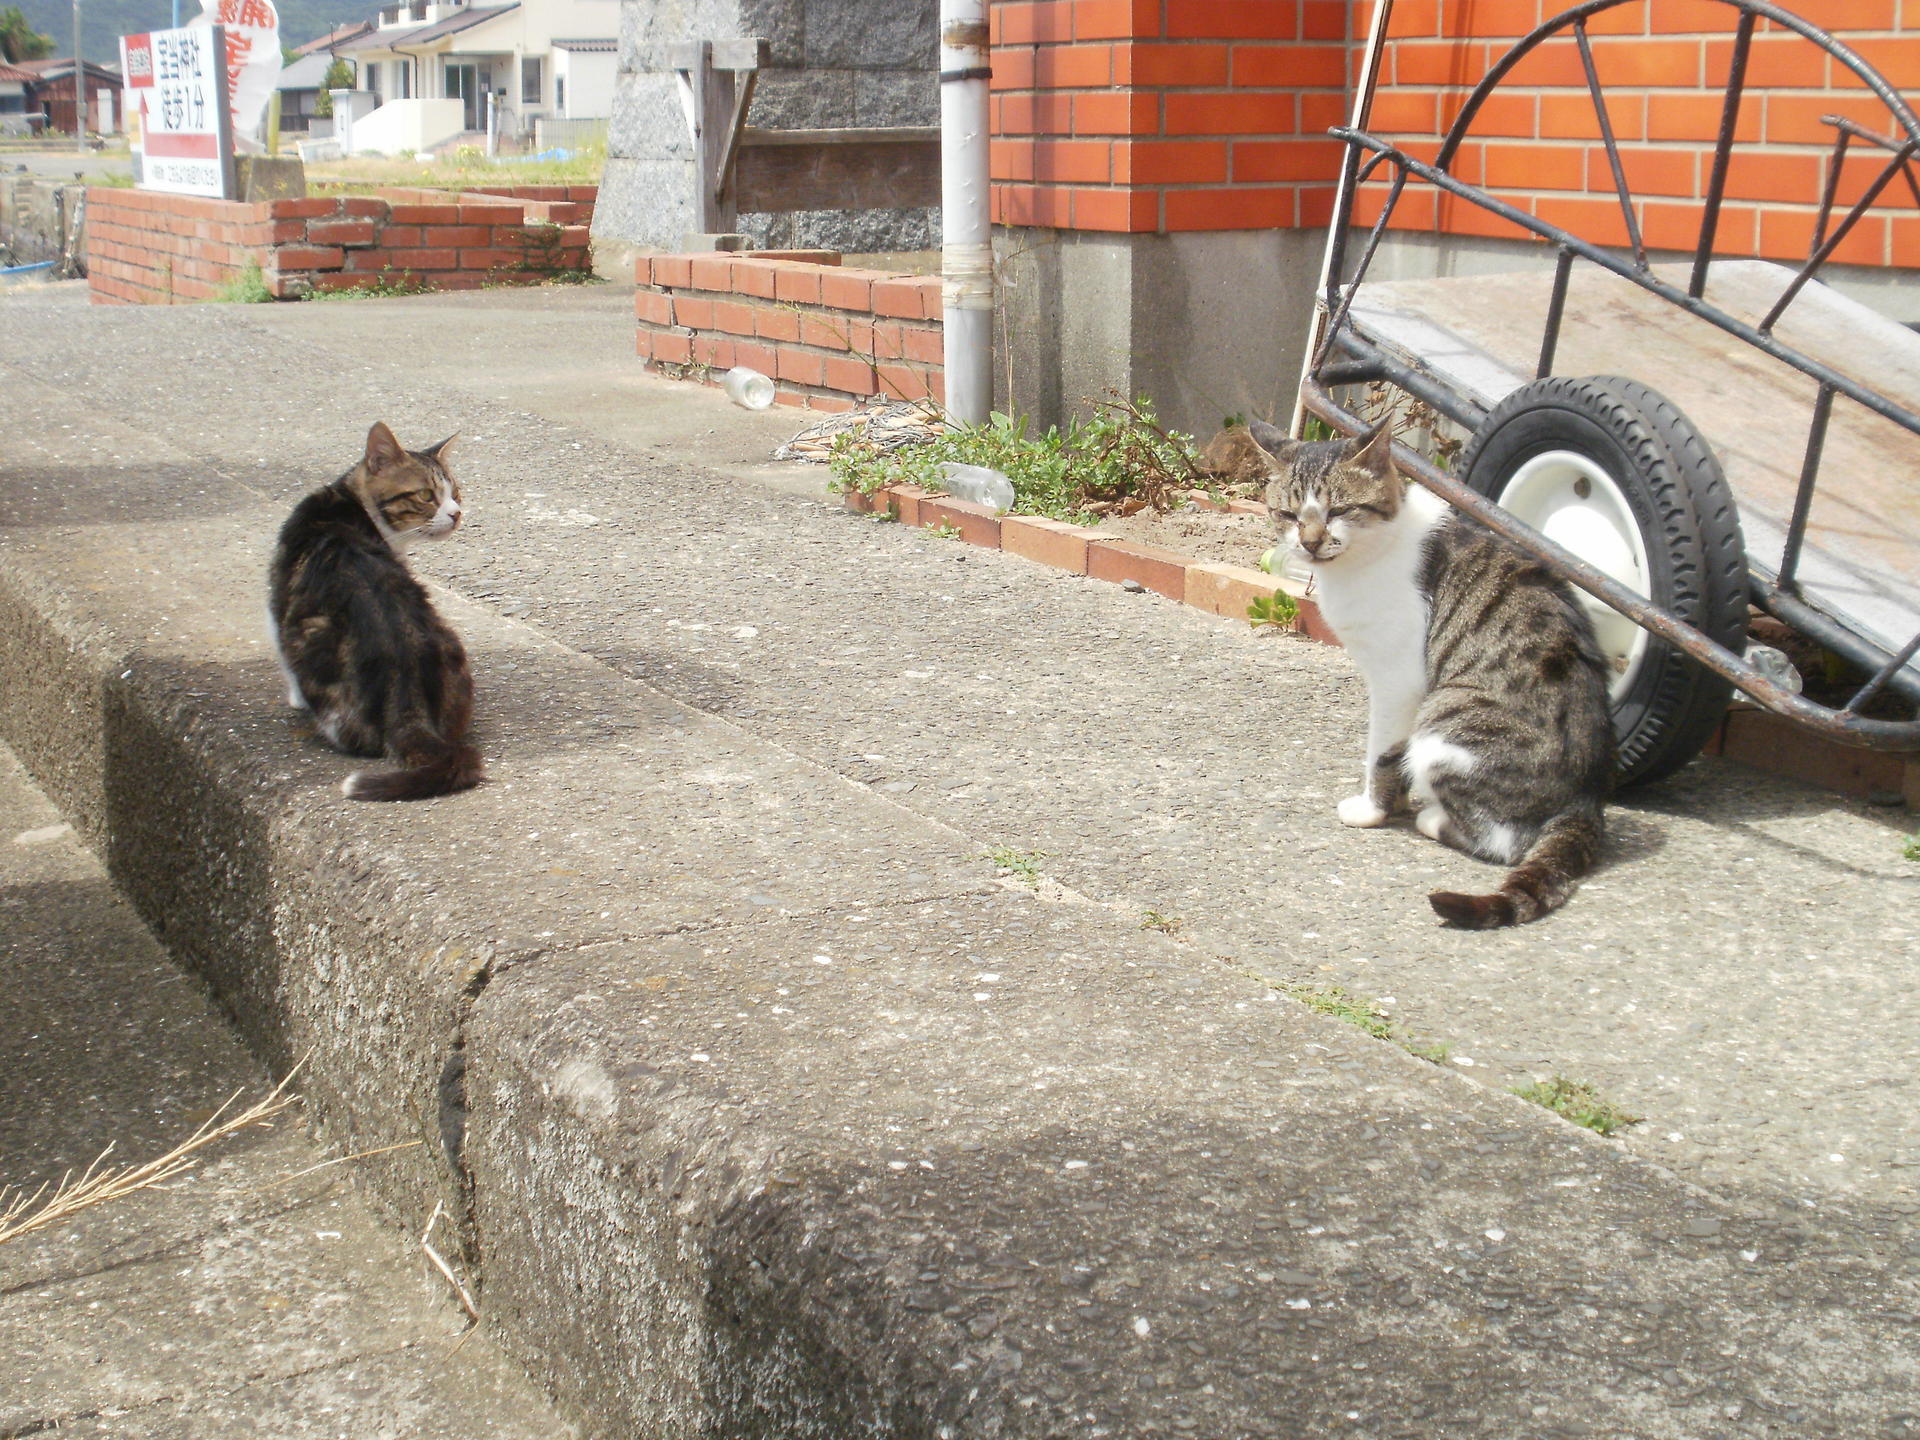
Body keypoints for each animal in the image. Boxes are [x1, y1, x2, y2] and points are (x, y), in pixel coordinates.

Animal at [266, 422, 483, 806]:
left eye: (455, 492)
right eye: (427, 495)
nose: (457, 513)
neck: (349, 500)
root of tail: (405, 688)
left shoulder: (277, 595)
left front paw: (293, 699)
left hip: (311, 636)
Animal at [1251, 416, 1612, 936]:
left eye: (1339, 510)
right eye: (1289, 513)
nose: (1311, 542)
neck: (1374, 551)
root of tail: (1586, 797)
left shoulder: (1397, 679)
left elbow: (1381, 755)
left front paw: (1373, 810)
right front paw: (1396, 802)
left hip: (1444, 725)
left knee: (1504, 842)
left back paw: (1435, 821)